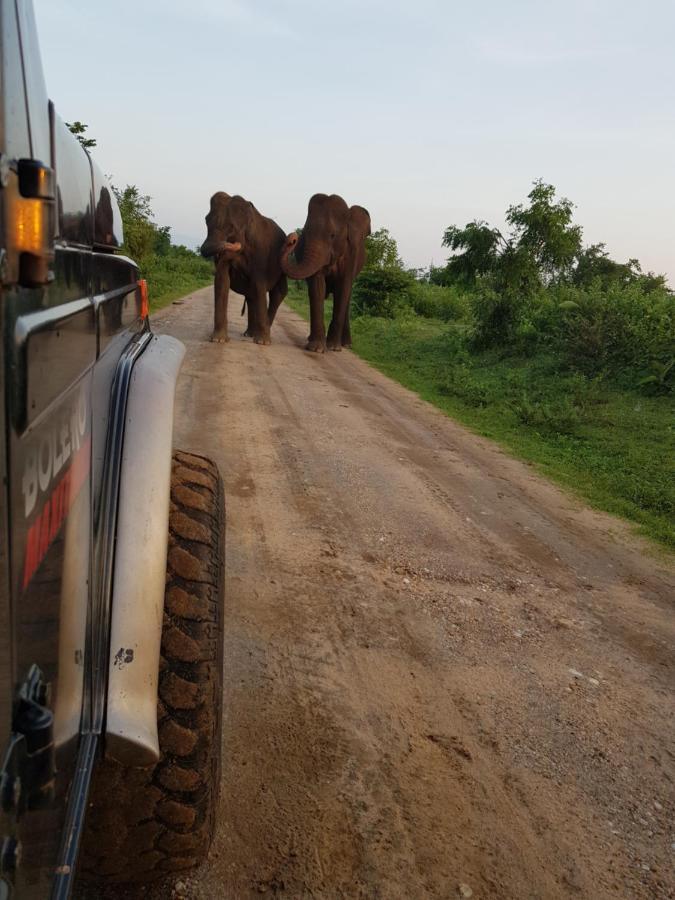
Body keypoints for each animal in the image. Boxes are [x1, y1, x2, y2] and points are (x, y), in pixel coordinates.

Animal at [198, 192, 288, 342]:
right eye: (206, 221)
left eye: (231, 227)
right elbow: (222, 280)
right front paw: (218, 340)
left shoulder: (261, 254)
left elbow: (259, 283)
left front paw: (262, 342)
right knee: (251, 296)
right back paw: (249, 334)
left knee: (277, 293)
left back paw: (258, 335)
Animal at [282, 193, 374, 352]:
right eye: (305, 233)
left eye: (332, 235)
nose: (292, 238)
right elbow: (317, 285)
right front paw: (316, 348)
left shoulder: (352, 254)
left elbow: (343, 288)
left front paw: (333, 347)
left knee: (347, 297)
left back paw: (345, 344)